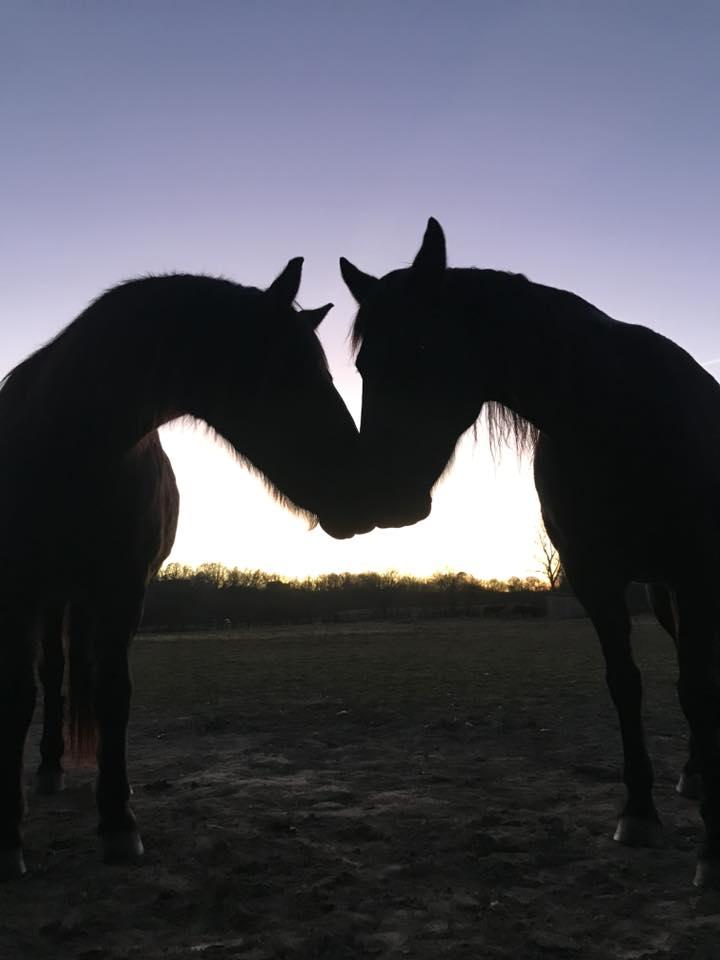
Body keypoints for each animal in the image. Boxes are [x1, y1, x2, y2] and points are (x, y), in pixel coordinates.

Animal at [0, 257, 368, 879]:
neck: (70, 443)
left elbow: (113, 694)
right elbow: (17, 697)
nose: (367, 491)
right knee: (49, 676)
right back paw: (47, 769)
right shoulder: (19, 590)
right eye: (287, 374)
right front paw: (9, 839)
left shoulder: (125, 588)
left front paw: (118, 821)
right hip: (52, 600)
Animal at [340, 218, 720, 888]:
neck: (613, 415)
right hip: (663, 595)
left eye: (421, 348)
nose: (380, 497)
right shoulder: (597, 580)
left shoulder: (695, 574)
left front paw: (712, 853)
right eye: (363, 363)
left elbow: (695, 691)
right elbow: (627, 684)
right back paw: (697, 774)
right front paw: (638, 812)